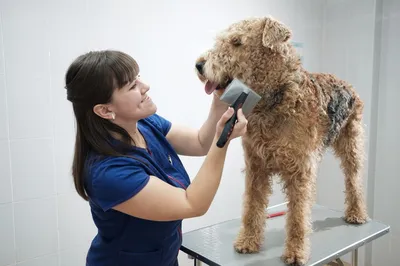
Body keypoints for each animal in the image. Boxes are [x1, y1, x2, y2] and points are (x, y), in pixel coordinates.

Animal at [195, 16, 368, 266]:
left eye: (237, 42)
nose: (199, 65)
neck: (274, 100)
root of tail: (346, 83)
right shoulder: (256, 166)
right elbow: (252, 207)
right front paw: (247, 241)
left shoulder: (300, 171)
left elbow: (297, 217)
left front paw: (296, 252)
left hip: (351, 144)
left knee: (354, 180)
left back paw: (356, 214)